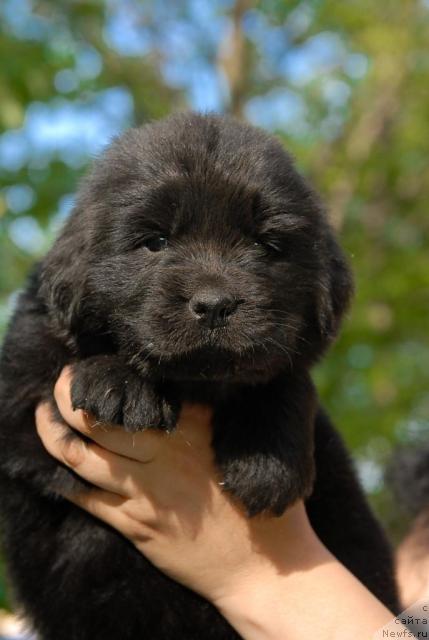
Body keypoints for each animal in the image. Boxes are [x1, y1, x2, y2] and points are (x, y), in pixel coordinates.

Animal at [0, 112, 396, 636]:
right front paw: (119, 384)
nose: (215, 304)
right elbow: (48, 377)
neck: (196, 386)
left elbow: (283, 380)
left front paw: (267, 463)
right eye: (155, 241)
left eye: (266, 244)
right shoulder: (23, 394)